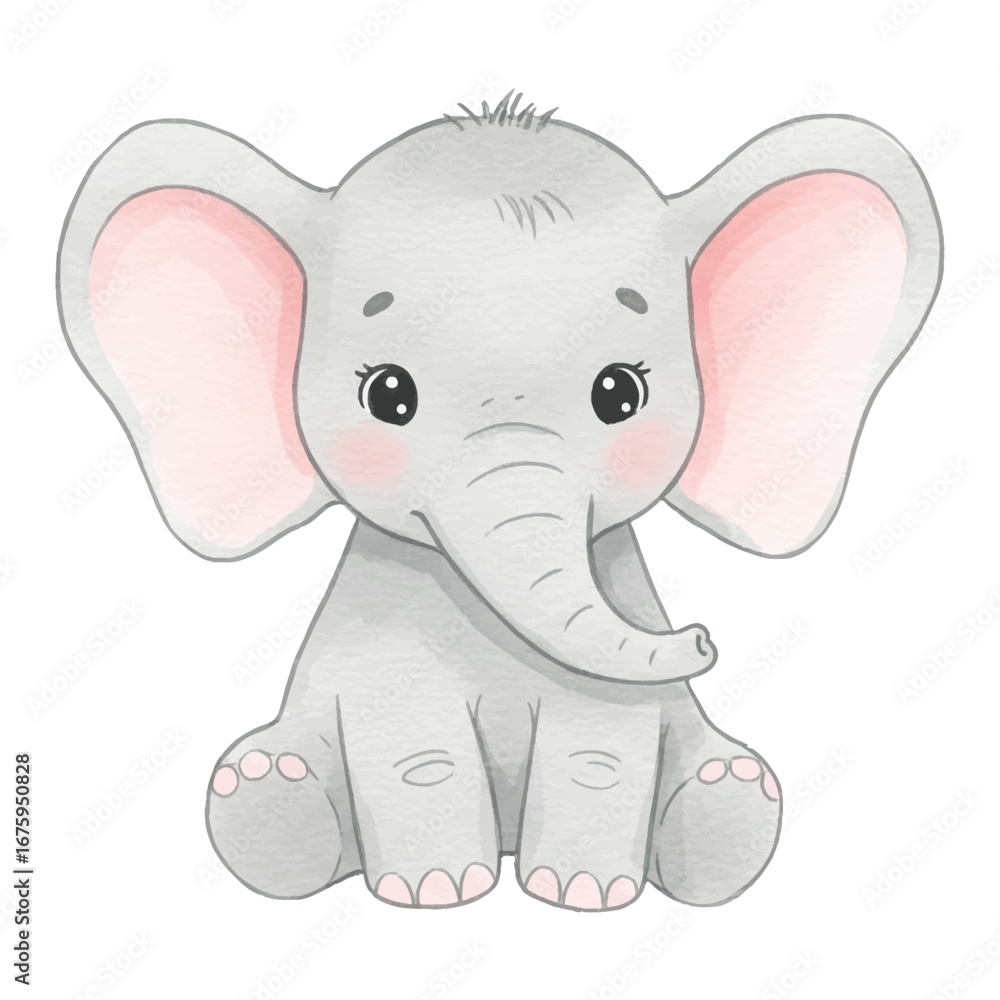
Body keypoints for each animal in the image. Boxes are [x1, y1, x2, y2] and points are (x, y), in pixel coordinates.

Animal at [57, 92, 942, 910]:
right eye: (388, 396)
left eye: (619, 395)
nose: (699, 637)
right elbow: (417, 751)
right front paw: (437, 891)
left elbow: (598, 751)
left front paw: (580, 894)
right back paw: (265, 779)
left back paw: (731, 789)